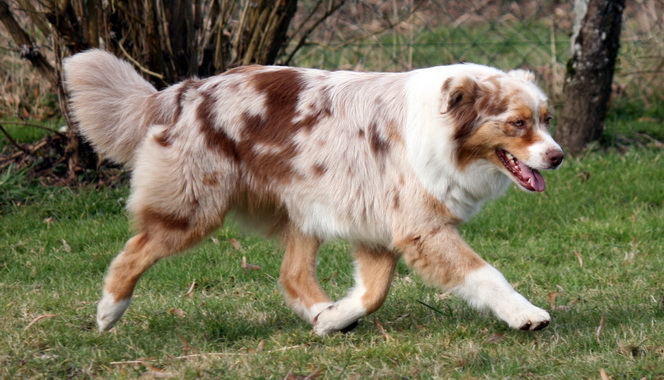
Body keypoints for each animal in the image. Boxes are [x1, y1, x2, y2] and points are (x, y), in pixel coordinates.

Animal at [62, 49, 564, 334]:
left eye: (546, 118)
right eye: (517, 123)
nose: (558, 156)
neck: (444, 133)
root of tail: (184, 91)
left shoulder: (379, 227)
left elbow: (373, 293)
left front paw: (335, 317)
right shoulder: (420, 226)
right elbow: (485, 274)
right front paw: (525, 314)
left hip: (305, 205)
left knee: (292, 275)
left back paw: (322, 312)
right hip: (195, 208)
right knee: (134, 250)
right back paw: (108, 313)